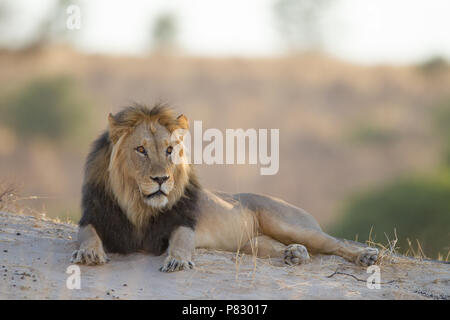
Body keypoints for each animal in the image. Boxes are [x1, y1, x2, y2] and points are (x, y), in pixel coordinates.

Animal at [72, 104, 378, 272]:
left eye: (169, 150)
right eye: (140, 150)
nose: (161, 179)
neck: (135, 202)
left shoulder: (183, 224)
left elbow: (180, 243)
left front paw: (177, 261)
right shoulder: (92, 217)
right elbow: (87, 235)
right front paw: (89, 253)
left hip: (288, 223)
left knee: (336, 243)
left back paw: (365, 256)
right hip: (254, 244)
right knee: (291, 249)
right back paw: (294, 254)